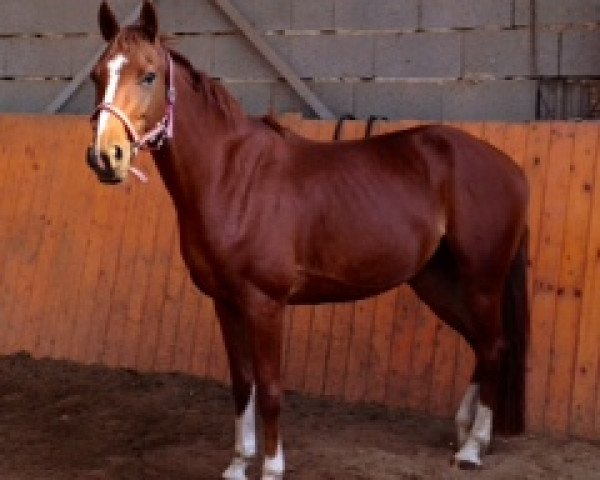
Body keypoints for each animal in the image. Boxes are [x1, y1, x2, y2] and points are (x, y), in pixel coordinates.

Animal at [85, 2, 528, 476]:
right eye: (97, 75)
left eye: (149, 75)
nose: (105, 157)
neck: (231, 176)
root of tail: (511, 167)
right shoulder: (226, 303)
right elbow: (242, 383)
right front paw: (239, 463)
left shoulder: (265, 304)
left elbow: (270, 388)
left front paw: (272, 467)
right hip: (436, 282)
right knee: (481, 346)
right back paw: (464, 432)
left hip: (481, 283)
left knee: (494, 347)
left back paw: (472, 449)